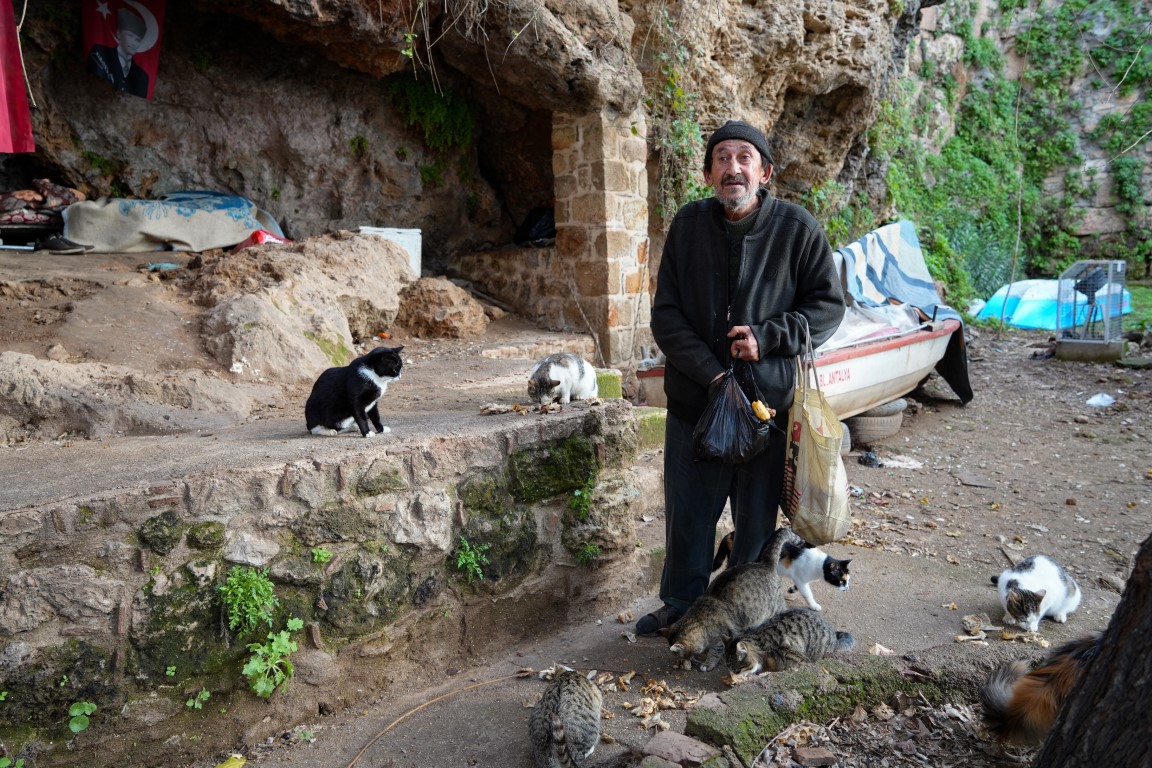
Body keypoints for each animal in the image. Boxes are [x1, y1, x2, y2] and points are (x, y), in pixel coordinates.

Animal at [663, 525, 797, 667]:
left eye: (684, 655)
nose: (685, 660)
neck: (698, 619)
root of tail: (766, 563)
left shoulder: (718, 639)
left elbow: (715, 653)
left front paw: (707, 664)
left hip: (774, 608)